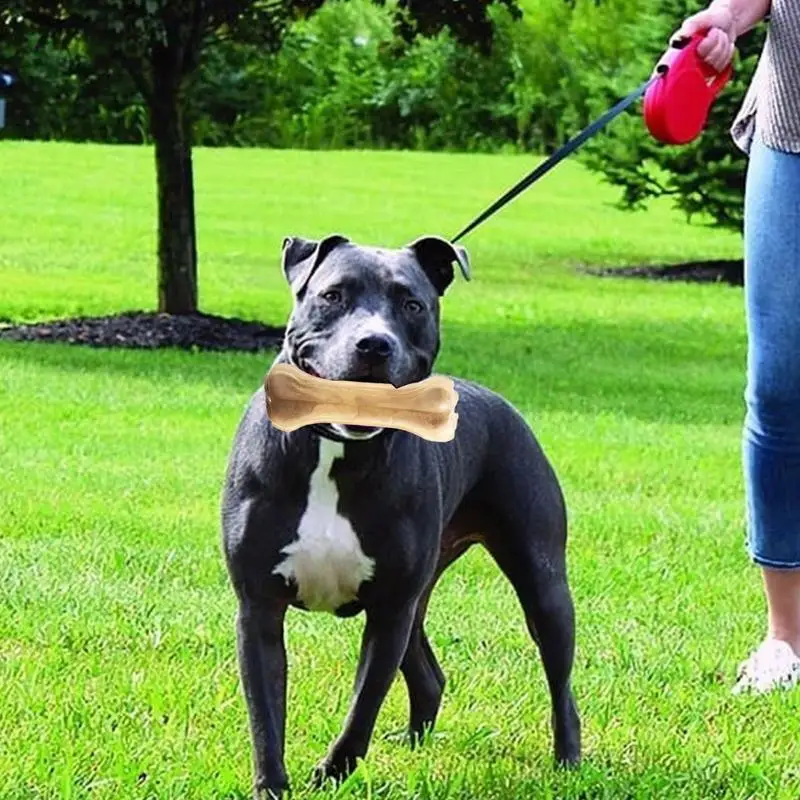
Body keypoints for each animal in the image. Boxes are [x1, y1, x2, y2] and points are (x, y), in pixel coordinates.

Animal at [220, 234, 580, 796]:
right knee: (430, 675)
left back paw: (567, 762)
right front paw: (273, 785)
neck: (336, 449)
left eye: (412, 304)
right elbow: (266, 714)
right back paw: (415, 744)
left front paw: (331, 773)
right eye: (332, 295)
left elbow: (362, 708)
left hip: (541, 584)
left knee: (560, 681)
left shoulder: (389, 610)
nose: (374, 344)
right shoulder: (259, 607)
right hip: (421, 597)